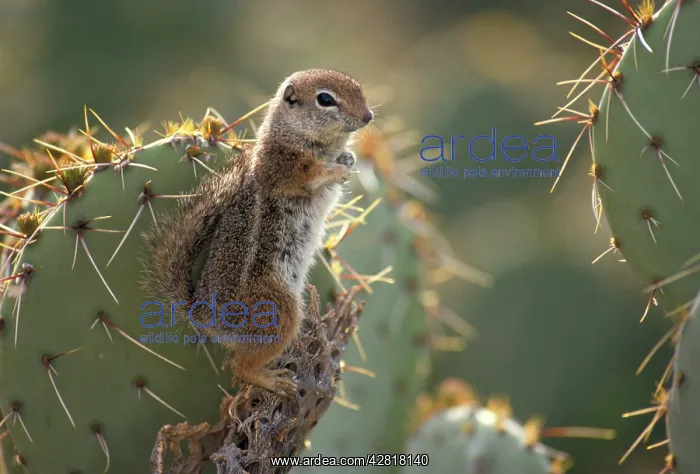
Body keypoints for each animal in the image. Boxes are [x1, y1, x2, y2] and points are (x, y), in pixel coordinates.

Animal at [142, 69, 374, 397]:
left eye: (358, 88)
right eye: (325, 99)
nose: (368, 116)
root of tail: (205, 316)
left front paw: (348, 159)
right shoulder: (280, 165)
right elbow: (308, 173)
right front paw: (334, 170)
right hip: (278, 311)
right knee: (239, 367)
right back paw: (270, 380)